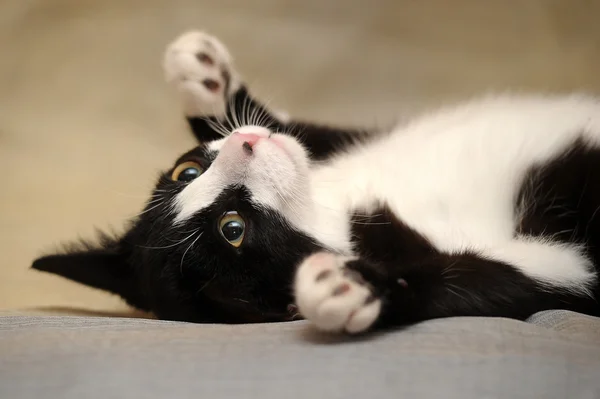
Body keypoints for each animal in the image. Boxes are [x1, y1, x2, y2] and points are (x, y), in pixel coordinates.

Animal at [32, 30, 600, 334]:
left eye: (186, 172)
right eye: (232, 228)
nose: (245, 145)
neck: (337, 210)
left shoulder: (348, 143)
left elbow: (308, 132)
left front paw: (202, 78)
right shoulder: (566, 271)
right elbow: (507, 285)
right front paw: (357, 286)